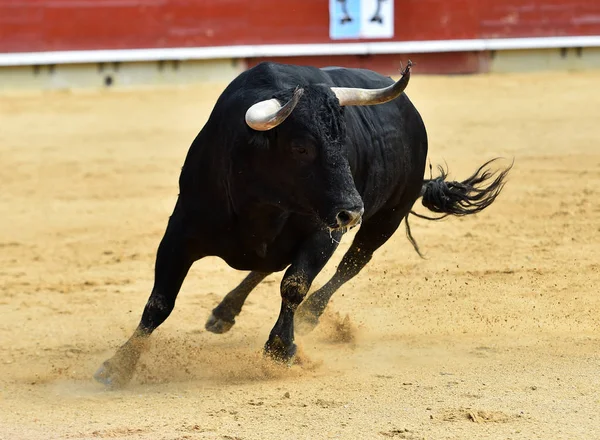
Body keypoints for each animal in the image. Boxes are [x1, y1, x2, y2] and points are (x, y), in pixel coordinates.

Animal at [94, 60, 510, 386]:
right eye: (301, 146)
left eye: (344, 142)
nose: (352, 211)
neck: (259, 200)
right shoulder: (179, 232)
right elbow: (159, 303)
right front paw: (118, 367)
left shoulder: (322, 233)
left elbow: (294, 284)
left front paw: (281, 350)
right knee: (267, 266)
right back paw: (224, 314)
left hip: (387, 217)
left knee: (350, 264)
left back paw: (309, 315)